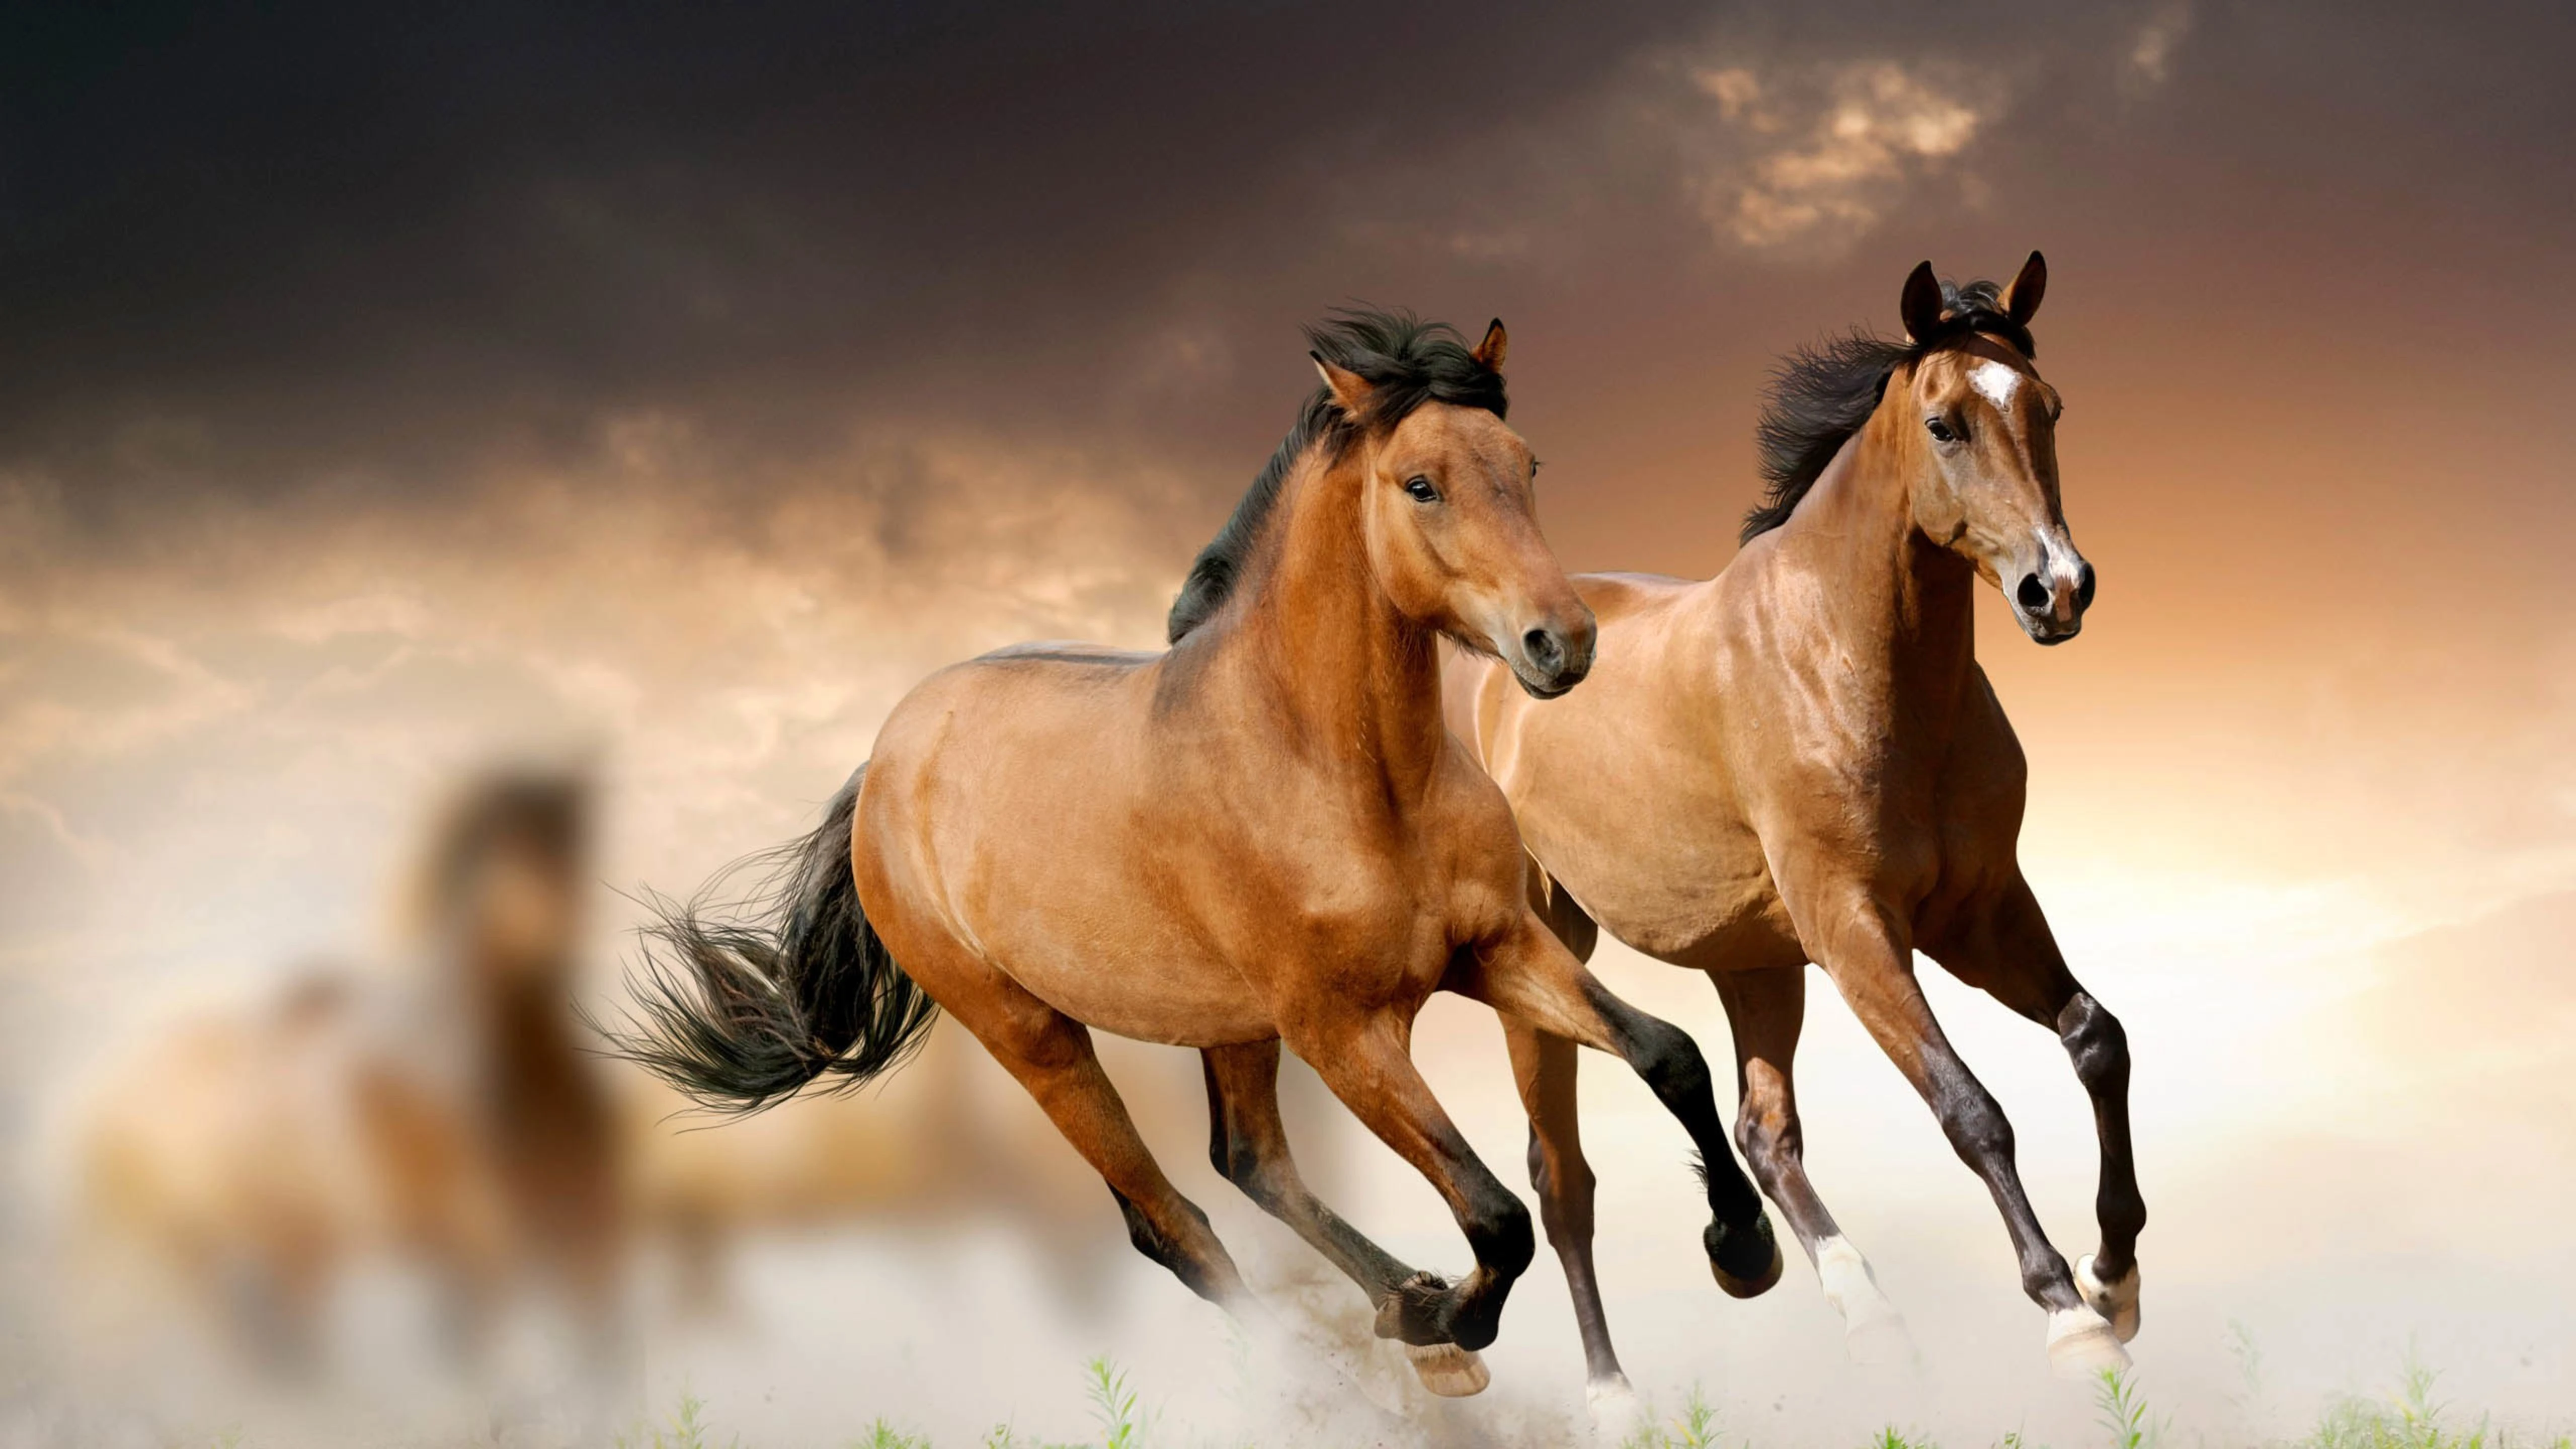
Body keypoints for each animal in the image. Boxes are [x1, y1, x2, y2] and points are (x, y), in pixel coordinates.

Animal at [611, 309, 1782, 1401]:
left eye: (1526, 465)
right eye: (1420, 485)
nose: (1562, 644)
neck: (1347, 775)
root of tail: (885, 764)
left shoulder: (1495, 948)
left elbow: (1669, 1055)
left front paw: (1743, 1251)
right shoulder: (1344, 1034)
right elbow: (1495, 1217)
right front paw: (1451, 1318)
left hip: (1229, 1024)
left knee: (1249, 1162)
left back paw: (1403, 1309)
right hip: (1036, 1037)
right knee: (1172, 1225)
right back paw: (1359, 1362)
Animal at [1446, 254, 2144, 1389]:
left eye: (2047, 408)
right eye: (1944, 423)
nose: (2059, 589)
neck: (1846, 661)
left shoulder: (1981, 911)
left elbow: (2096, 1040)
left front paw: (2114, 1276)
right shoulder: (1856, 927)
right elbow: (1970, 1109)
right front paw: (2065, 1311)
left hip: (1755, 962)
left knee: (1763, 1133)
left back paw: (1848, 1303)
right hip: (1545, 951)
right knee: (1562, 1182)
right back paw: (1613, 1396)